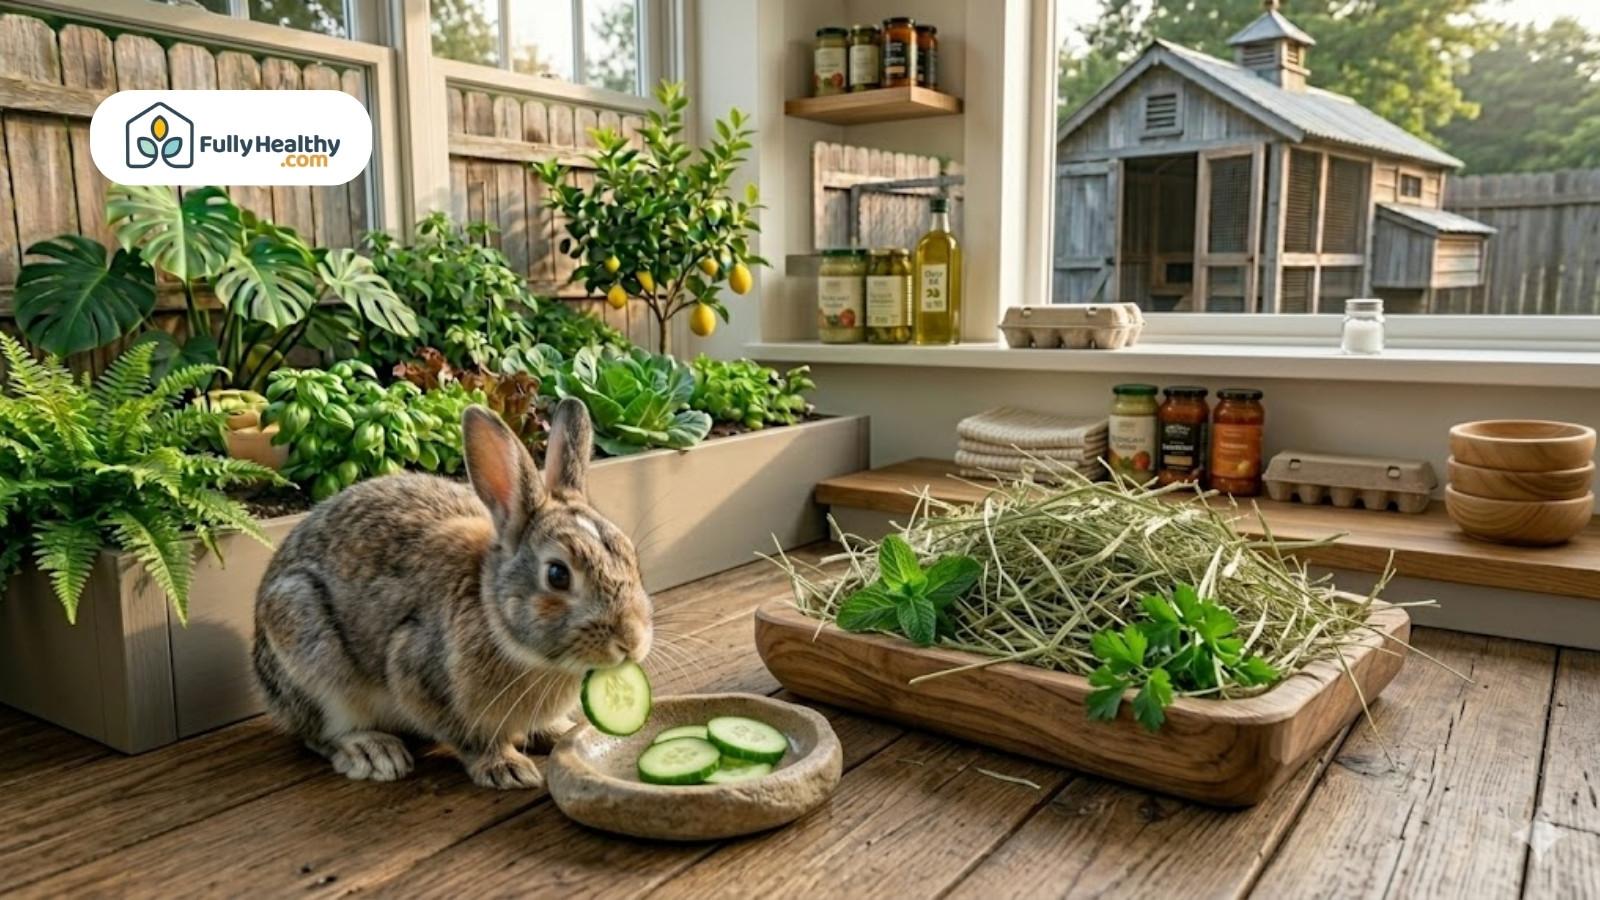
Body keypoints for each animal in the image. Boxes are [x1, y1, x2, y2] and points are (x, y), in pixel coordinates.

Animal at [252, 398, 653, 790]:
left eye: (632, 557)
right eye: (557, 575)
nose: (631, 641)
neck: (494, 615)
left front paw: (558, 732)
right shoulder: (417, 673)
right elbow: (470, 739)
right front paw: (505, 767)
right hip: (304, 640)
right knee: (320, 732)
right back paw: (373, 751)